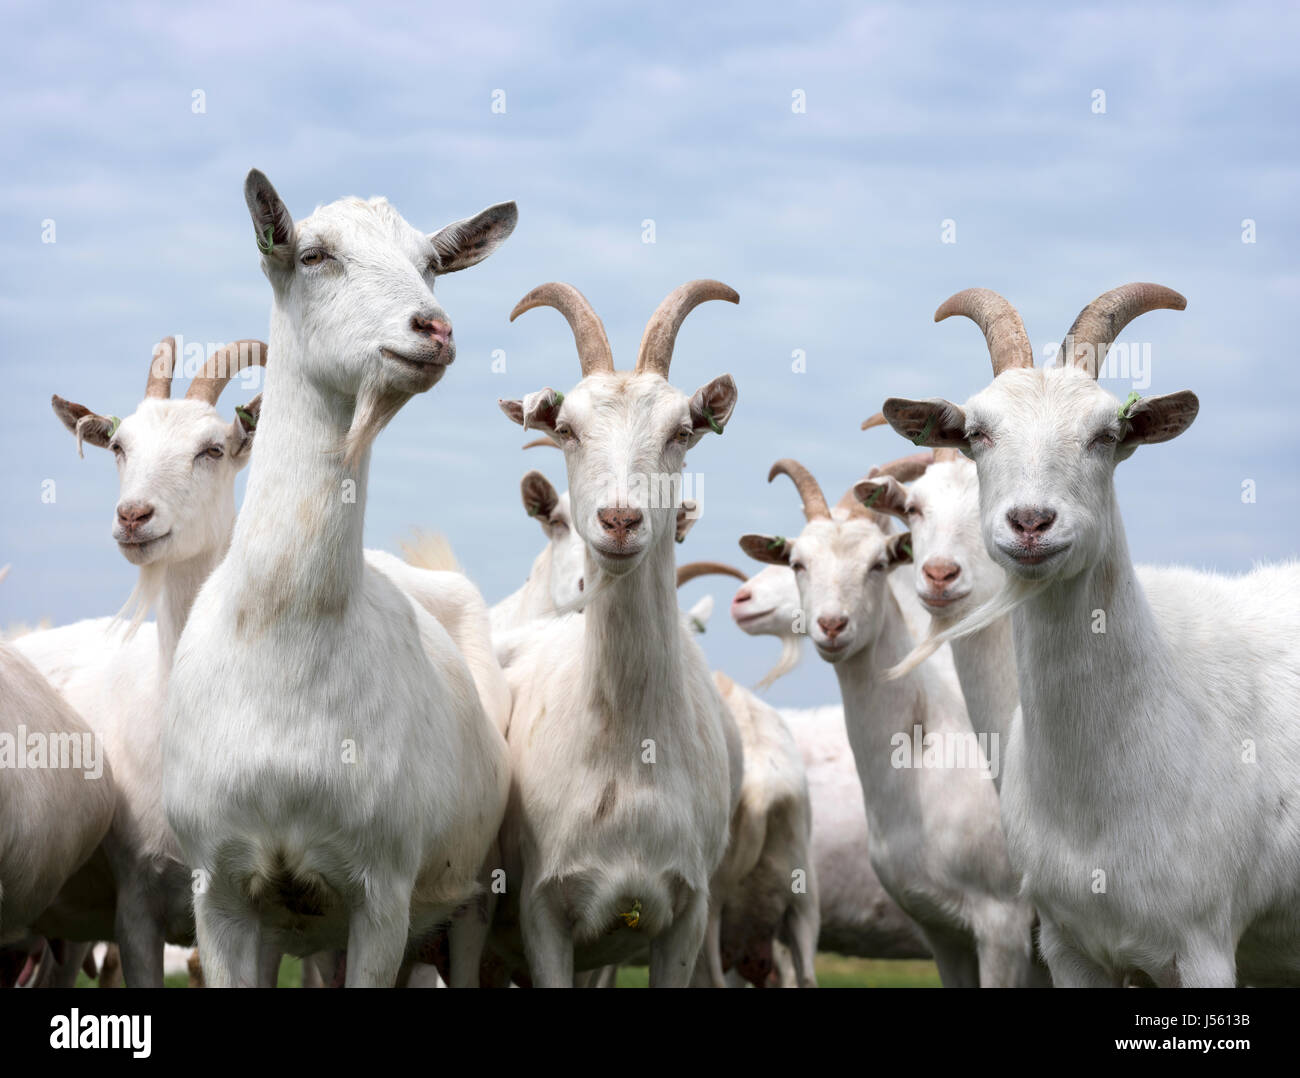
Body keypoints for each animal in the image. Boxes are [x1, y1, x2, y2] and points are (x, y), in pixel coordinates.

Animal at [159, 167, 509, 983]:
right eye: (313, 254)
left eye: (433, 263)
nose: (433, 329)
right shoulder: (219, 891)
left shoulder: (382, 894)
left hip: (470, 898)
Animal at [493, 275, 743, 983]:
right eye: (566, 429)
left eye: (683, 430)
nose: (621, 520)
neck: (630, 754)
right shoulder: (542, 913)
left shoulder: (685, 916)